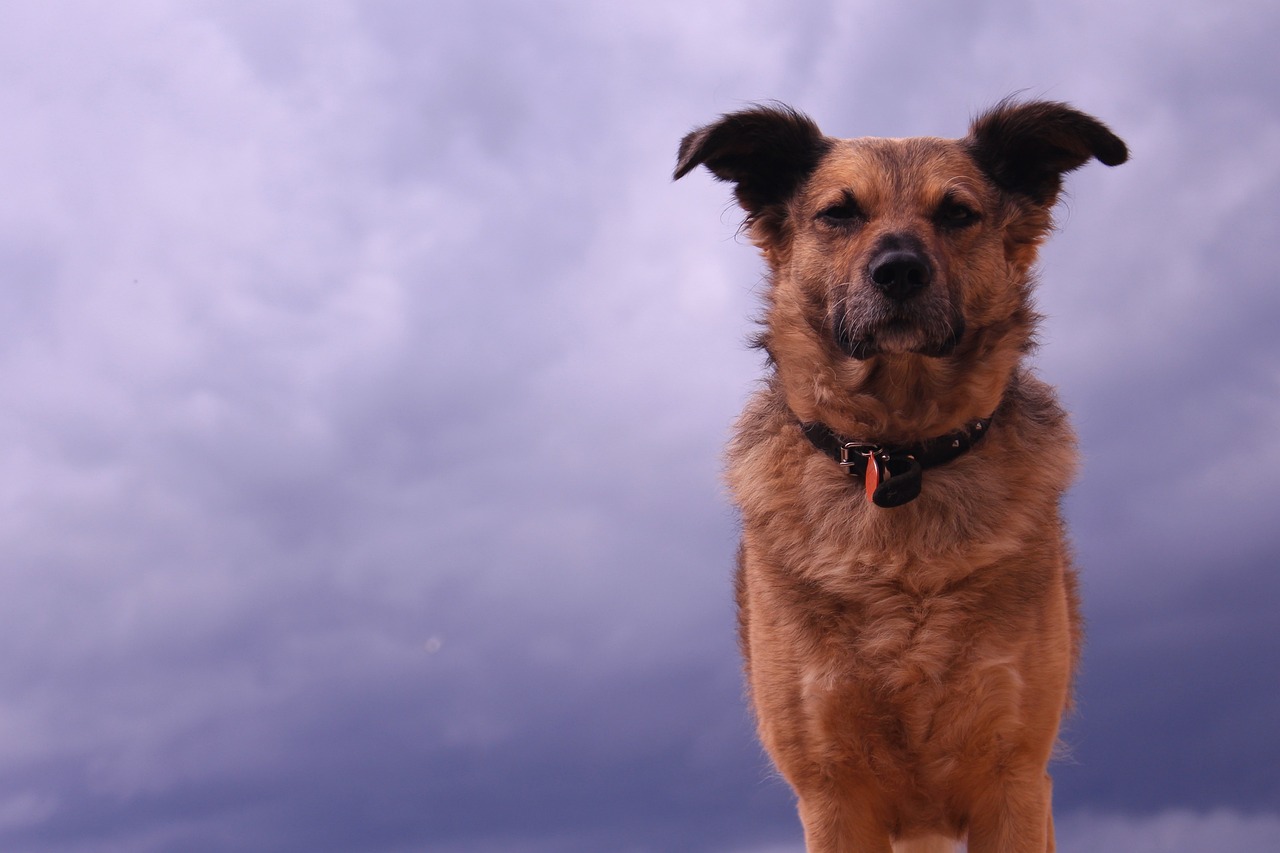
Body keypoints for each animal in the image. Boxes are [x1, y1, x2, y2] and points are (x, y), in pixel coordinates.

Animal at [675, 101, 1126, 850]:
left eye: (957, 213)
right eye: (838, 213)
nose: (899, 272)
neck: (898, 457)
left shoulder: (1014, 781)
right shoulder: (832, 792)